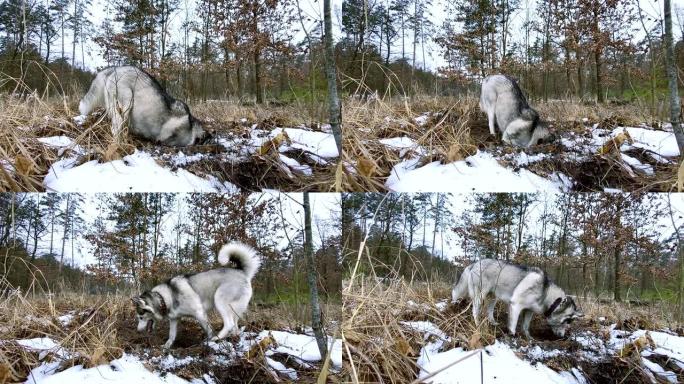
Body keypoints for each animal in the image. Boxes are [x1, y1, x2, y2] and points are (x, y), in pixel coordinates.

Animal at [132, 243, 260, 348]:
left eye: (141, 317)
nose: (138, 331)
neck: (164, 297)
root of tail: (241, 272)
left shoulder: (200, 313)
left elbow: (208, 330)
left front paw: (208, 341)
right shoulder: (174, 319)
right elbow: (171, 335)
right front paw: (166, 346)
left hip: (220, 301)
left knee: (229, 324)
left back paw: (217, 338)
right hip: (234, 309)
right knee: (235, 326)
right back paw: (233, 337)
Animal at [454, 260, 584, 338]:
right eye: (565, 321)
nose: (562, 336)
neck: (545, 292)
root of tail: (475, 263)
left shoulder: (529, 311)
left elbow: (525, 326)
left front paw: (528, 338)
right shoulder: (515, 306)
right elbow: (513, 324)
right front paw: (512, 335)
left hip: (493, 297)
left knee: (489, 310)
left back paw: (493, 322)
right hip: (480, 296)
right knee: (474, 310)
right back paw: (477, 324)